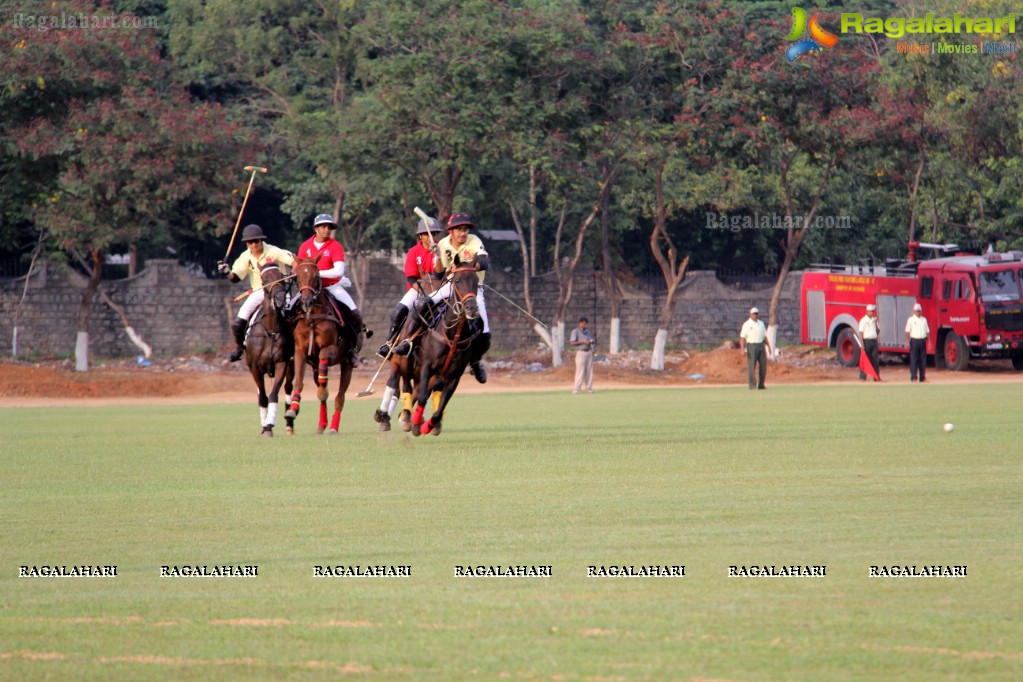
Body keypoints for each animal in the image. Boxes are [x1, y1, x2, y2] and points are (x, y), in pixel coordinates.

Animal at [244, 261, 296, 437]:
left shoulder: (282, 363)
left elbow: (274, 395)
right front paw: (265, 426)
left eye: (281, 277)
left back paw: (289, 424)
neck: (270, 330)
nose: (280, 300)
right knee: (261, 394)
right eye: (264, 279)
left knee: (288, 389)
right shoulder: (255, 368)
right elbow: (263, 398)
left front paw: (269, 425)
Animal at [284, 258, 356, 435]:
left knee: (340, 396)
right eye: (298, 277)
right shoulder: (300, 352)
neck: (312, 319)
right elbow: (299, 381)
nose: (306, 302)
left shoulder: (330, 349)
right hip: (316, 365)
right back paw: (321, 424)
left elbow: (325, 384)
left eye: (316, 276)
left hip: (347, 363)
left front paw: (323, 391)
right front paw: (293, 409)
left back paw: (333, 427)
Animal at [407, 255, 482, 437]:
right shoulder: (427, 366)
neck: (453, 334)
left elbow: (440, 408)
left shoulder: (454, 376)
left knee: (419, 392)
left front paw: (426, 426)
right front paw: (416, 422)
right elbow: (422, 398)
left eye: (476, 280)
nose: (471, 309)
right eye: (457, 280)